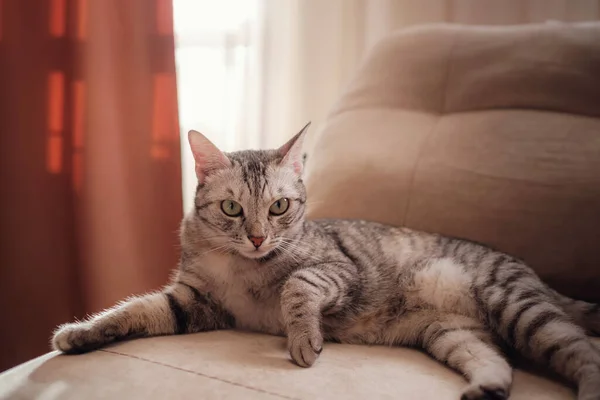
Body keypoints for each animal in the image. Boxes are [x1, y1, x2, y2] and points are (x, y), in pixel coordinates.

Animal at [52, 125, 600, 400]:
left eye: (279, 206)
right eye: (232, 208)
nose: (257, 238)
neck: (242, 266)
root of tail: (536, 277)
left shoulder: (338, 268)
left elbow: (299, 284)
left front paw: (302, 338)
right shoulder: (195, 301)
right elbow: (133, 310)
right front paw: (79, 333)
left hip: (515, 305)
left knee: (584, 351)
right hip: (453, 332)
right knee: (497, 362)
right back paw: (486, 388)